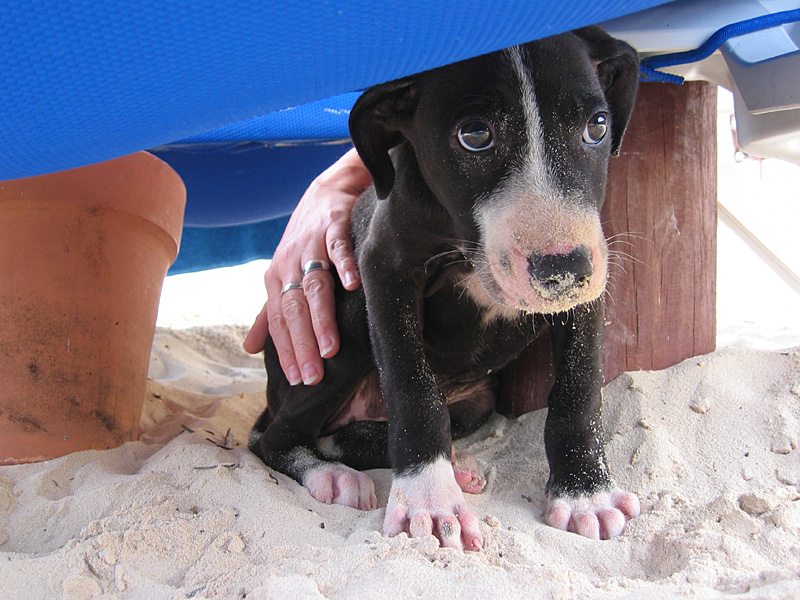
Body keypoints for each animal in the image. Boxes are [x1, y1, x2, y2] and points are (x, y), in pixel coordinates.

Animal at [253, 28, 640, 552]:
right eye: (475, 136)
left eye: (597, 127)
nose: (563, 270)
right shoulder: (383, 269)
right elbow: (413, 392)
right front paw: (430, 499)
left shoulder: (591, 271)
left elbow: (579, 389)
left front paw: (585, 492)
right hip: (342, 325)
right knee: (270, 439)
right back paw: (330, 475)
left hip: (475, 402)